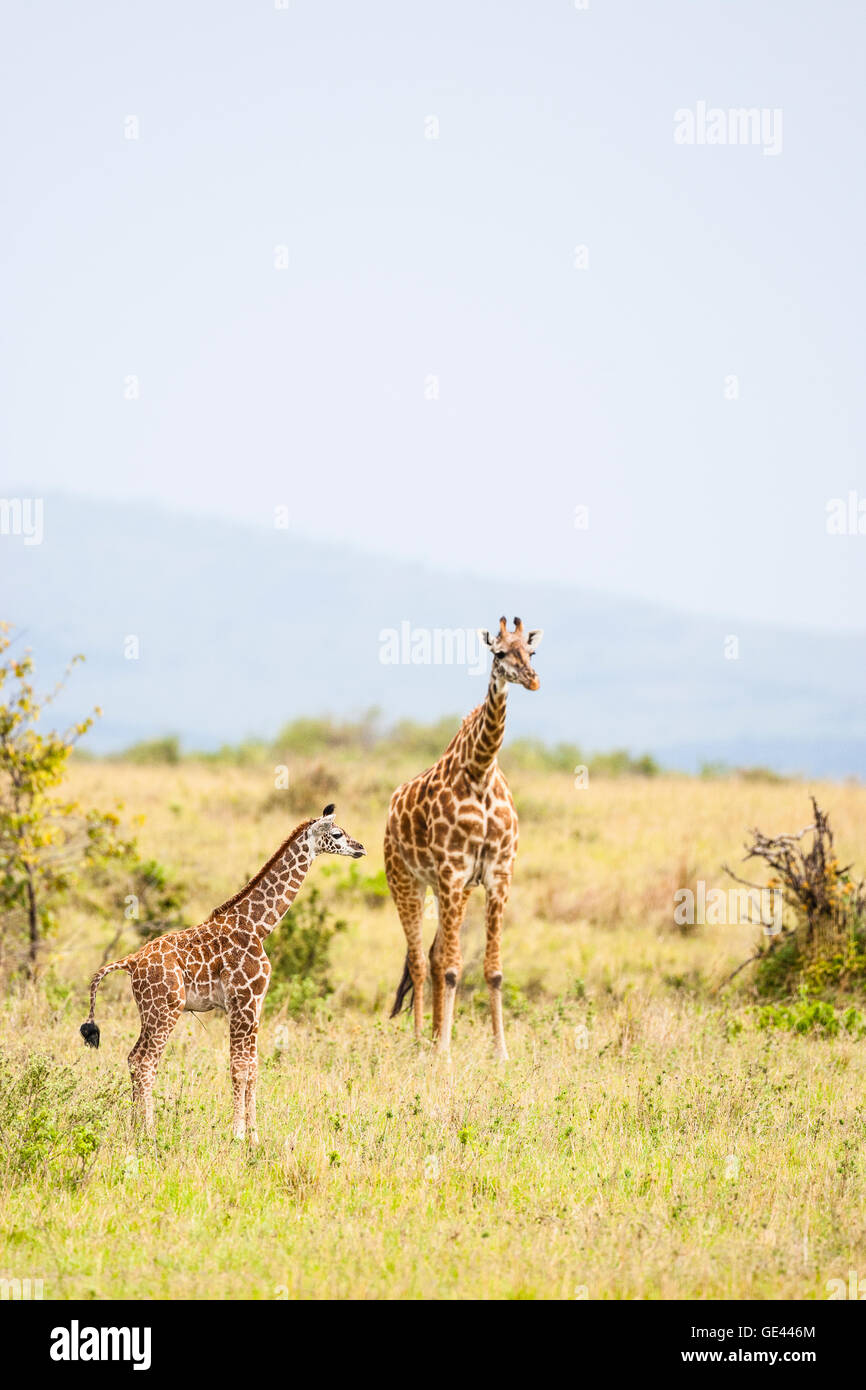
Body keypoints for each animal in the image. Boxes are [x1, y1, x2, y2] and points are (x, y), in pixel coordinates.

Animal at [79, 806, 366, 1139]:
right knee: (145, 1062)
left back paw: (136, 1127)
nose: (361, 848)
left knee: (133, 1057)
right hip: (166, 1009)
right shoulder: (243, 1002)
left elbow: (253, 1067)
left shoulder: (255, 1005)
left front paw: (254, 1135)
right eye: (337, 834)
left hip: (150, 1012)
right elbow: (239, 1067)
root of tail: (130, 961)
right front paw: (239, 1134)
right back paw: (149, 1132)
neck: (258, 926)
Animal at [386, 614, 542, 1056]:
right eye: (499, 653)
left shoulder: (496, 876)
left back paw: (435, 1033)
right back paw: (421, 1041)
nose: (532, 680)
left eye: (532, 650)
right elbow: (455, 969)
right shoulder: (454, 872)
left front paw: (500, 1052)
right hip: (406, 881)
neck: (481, 771)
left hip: (447, 889)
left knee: (436, 955)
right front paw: (444, 1055)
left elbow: (492, 970)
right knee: (421, 960)